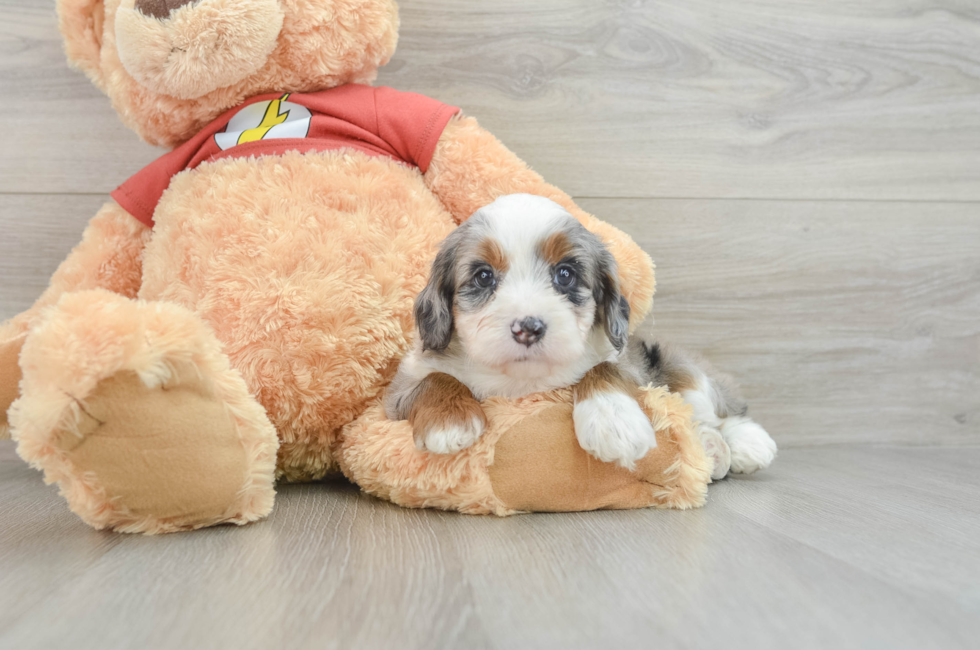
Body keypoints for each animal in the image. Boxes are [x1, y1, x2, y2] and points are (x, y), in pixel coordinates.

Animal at [382, 192, 772, 476]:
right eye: (483, 276)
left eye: (565, 274)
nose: (528, 328)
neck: (522, 381)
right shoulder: (394, 397)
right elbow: (434, 380)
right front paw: (449, 422)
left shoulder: (628, 361)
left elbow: (603, 369)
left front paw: (614, 420)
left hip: (677, 366)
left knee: (712, 411)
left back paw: (744, 442)